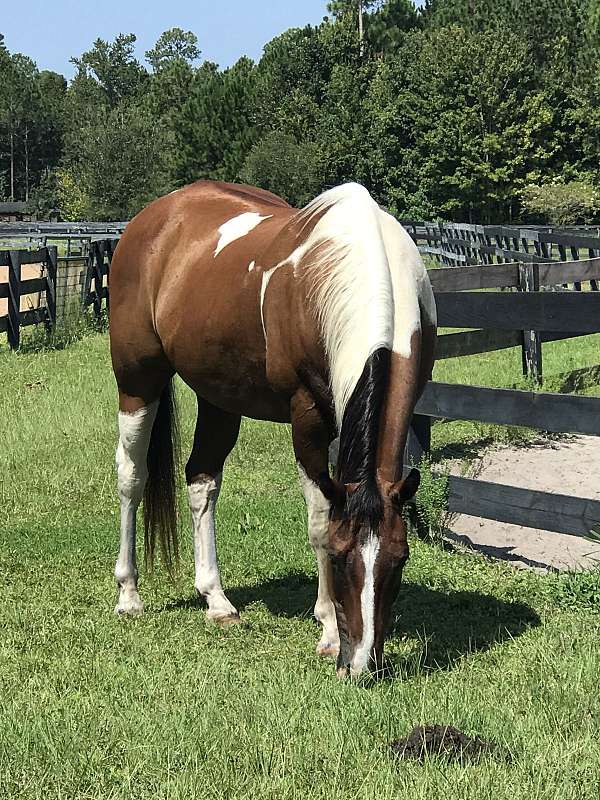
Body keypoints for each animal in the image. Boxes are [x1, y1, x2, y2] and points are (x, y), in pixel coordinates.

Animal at [109, 181, 436, 676]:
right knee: (132, 476)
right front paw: (326, 631)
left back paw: (217, 601)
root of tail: (153, 217)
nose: (361, 664)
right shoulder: (308, 420)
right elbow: (319, 520)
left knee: (201, 480)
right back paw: (129, 594)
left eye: (400, 560)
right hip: (137, 382)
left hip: (219, 396)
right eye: (339, 557)